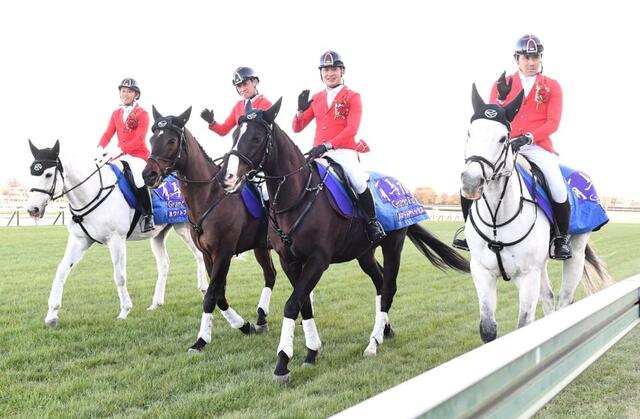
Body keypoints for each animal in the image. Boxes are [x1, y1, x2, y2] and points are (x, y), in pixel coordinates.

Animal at [26, 140, 208, 327]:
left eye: (48, 174)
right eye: (31, 172)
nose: (33, 209)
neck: (92, 192)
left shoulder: (116, 240)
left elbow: (119, 276)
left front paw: (125, 310)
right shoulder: (79, 240)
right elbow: (61, 271)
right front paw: (51, 315)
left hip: (184, 229)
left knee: (199, 255)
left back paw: (203, 290)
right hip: (159, 235)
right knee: (164, 264)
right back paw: (155, 303)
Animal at [141, 106, 277, 351]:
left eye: (171, 140)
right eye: (152, 138)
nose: (149, 174)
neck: (209, 196)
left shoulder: (223, 253)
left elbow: (212, 295)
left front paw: (201, 340)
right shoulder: (208, 255)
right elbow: (219, 295)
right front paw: (244, 325)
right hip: (261, 247)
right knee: (271, 275)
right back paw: (261, 318)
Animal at [221, 98, 470, 384]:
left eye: (257, 138)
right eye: (234, 136)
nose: (227, 178)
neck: (297, 197)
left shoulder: (318, 261)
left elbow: (292, 304)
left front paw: (283, 362)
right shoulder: (289, 261)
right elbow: (304, 304)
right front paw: (311, 352)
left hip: (393, 246)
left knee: (388, 288)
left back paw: (373, 343)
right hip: (365, 254)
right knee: (380, 282)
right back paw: (384, 331)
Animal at [460, 84, 612, 343]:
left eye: (503, 138)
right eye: (470, 133)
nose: (471, 182)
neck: (497, 217)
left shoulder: (528, 275)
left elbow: (524, 326)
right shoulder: (482, 272)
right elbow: (488, 329)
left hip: (576, 253)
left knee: (564, 300)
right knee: (549, 299)